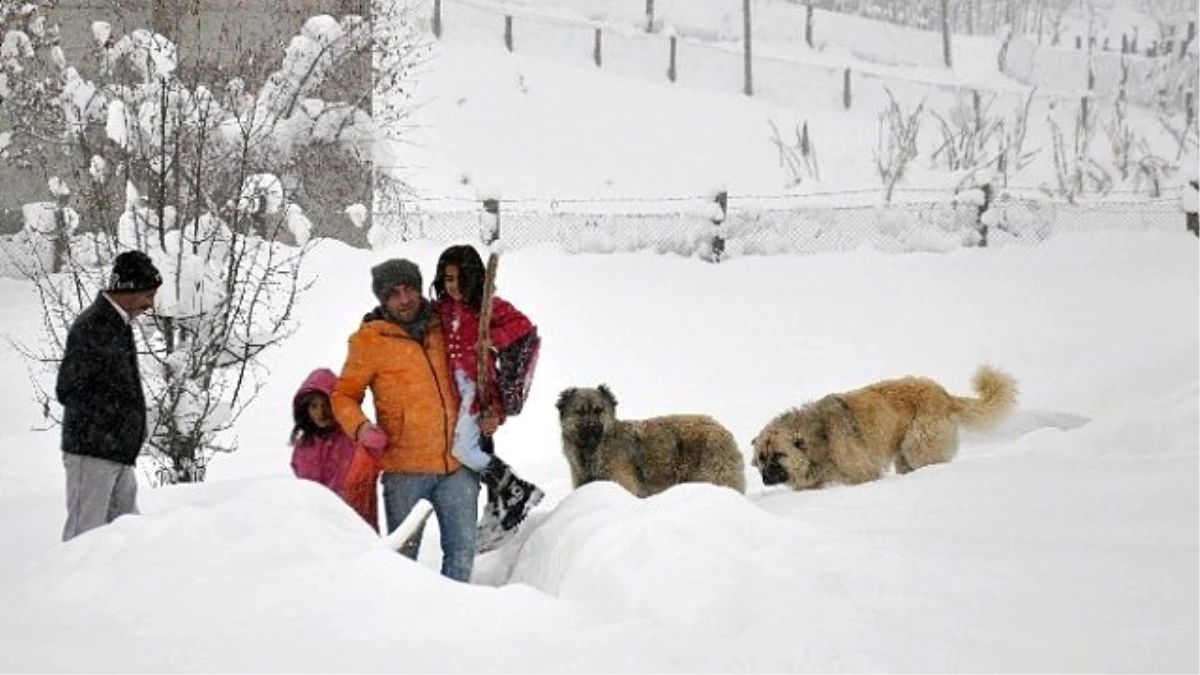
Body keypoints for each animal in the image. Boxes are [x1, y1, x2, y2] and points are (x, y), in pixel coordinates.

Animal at [753, 362, 1017, 487]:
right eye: (761, 459)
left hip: (918, 446)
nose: (766, 477)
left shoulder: (862, 473)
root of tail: (943, 394)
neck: (820, 438)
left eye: (779, 455)